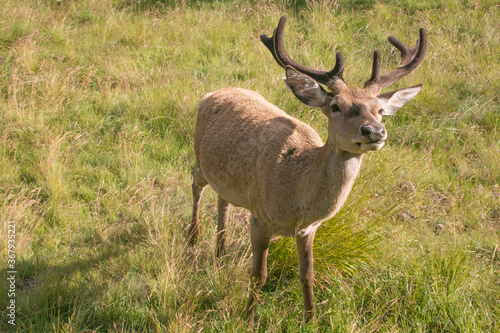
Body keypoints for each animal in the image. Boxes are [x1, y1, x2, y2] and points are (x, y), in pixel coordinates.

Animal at [188, 16, 426, 324]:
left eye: (380, 110)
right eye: (336, 106)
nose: (374, 131)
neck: (296, 196)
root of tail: (213, 92)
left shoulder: (308, 229)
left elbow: (307, 275)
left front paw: (311, 318)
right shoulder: (259, 217)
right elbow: (258, 275)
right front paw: (248, 319)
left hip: (227, 179)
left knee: (222, 200)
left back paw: (220, 252)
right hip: (199, 157)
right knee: (195, 183)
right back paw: (192, 238)